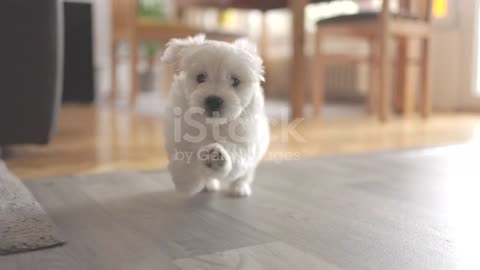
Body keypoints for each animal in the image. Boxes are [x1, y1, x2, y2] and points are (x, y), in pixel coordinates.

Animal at [162, 34, 270, 197]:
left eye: (235, 81)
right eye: (200, 77)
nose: (214, 100)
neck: (211, 125)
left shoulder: (246, 141)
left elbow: (235, 152)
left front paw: (217, 158)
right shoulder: (179, 136)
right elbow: (184, 159)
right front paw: (187, 183)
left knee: (245, 175)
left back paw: (240, 188)